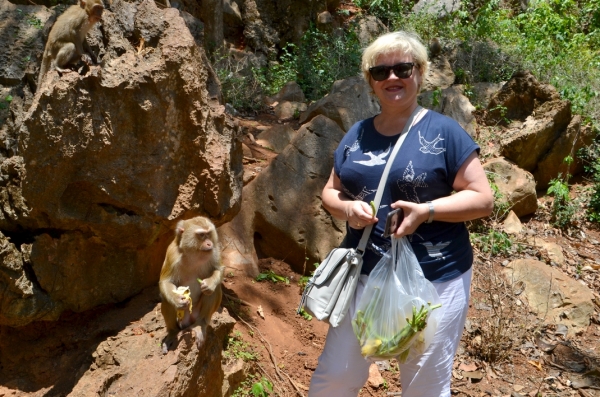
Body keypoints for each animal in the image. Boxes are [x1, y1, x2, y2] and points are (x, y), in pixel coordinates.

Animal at [158, 215, 224, 354]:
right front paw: (178, 300)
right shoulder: (172, 253)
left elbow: (219, 269)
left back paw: (200, 324)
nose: (209, 243)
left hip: (197, 315)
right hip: (182, 319)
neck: (193, 252)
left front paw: (209, 284)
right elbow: (166, 282)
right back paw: (173, 332)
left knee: (214, 291)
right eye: (202, 235)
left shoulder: (215, 250)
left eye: (209, 234)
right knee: (167, 299)